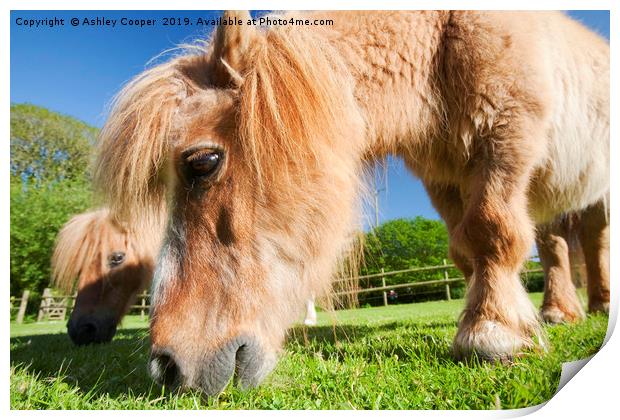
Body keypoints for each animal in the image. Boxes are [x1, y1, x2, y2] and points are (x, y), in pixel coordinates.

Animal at [94, 10, 608, 398]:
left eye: (203, 162)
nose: (166, 367)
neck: (440, 37)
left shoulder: (507, 134)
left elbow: (489, 229)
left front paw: (493, 332)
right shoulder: (444, 180)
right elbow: (466, 250)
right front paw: (498, 317)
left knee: (594, 242)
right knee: (560, 246)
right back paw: (566, 310)